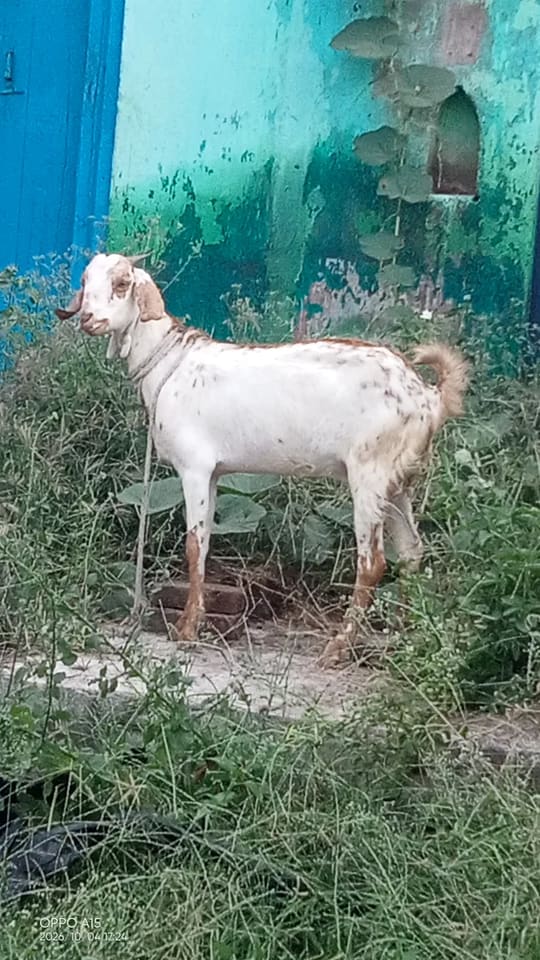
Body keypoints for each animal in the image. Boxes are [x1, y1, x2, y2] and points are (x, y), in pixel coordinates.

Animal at [56, 253, 469, 666]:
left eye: (123, 283)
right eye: (85, 280)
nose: (89, 319)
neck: (171, 363)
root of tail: (427, 396)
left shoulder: (194, 467)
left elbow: (193, 545)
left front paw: (187, 631)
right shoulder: (214, 473)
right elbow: (205, 543)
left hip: (369, 475)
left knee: (373, 563)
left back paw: (338, 646)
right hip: (398, 481)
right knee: (411, 552)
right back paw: (402, 635)